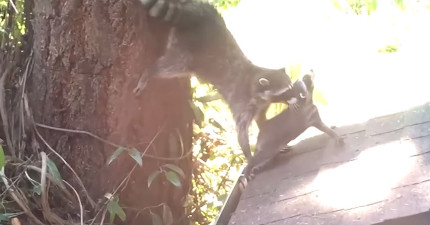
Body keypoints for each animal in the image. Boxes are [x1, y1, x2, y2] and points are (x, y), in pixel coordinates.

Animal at [137, 0, 292, 160]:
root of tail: (197, 18)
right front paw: (250, 156)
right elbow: (241, 132)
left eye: (291, 87)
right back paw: (150, 71)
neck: (256, 83)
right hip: (185, 50)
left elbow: (261, 120)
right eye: (286, 92)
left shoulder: (261, 105)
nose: (298, 100)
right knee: (171, 67)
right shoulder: (243, 102)